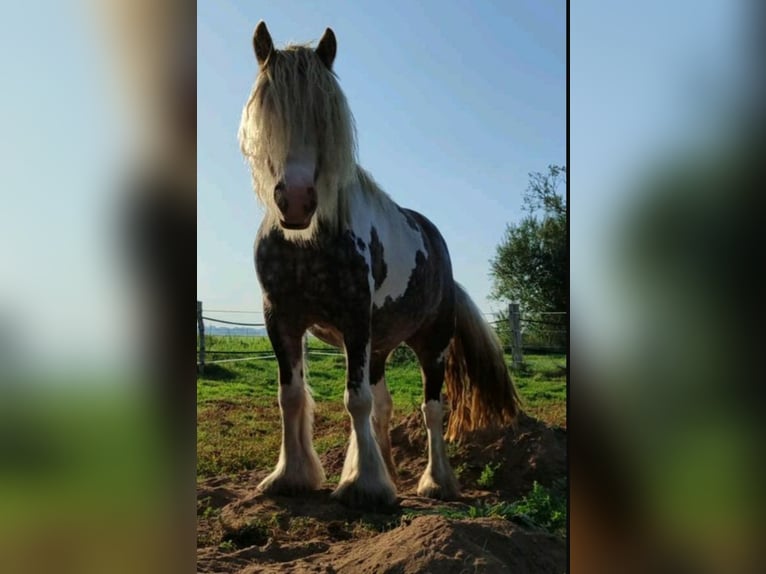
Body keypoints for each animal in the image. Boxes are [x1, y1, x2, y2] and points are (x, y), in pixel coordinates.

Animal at [237, 22, 520, 508]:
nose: (296, 201)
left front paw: (362, 486)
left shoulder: (354, 319)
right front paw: (292, 477)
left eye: (324, 118)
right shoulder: (281, 318)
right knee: (384, 405)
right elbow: (291, 396)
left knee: (431, 408)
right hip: (380, 346)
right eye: (268, 112)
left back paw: (436, 482)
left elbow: (356, 401)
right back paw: (390, 471)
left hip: (430, 345)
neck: (308, 242)